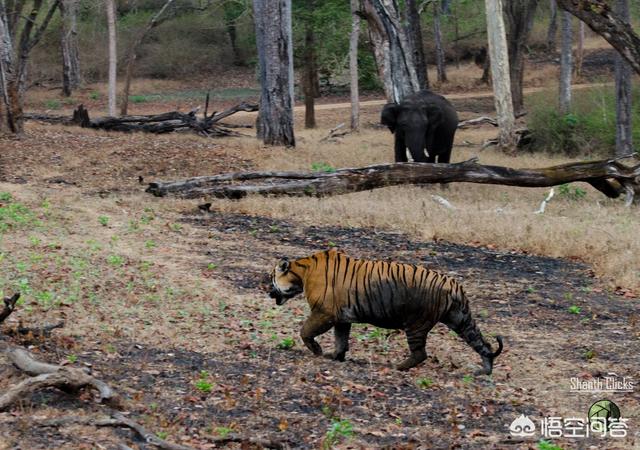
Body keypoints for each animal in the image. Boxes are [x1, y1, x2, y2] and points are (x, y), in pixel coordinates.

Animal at [268, 248, 502, 374]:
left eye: (271, 277)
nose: (267, 290)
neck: (301, 273)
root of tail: (453, 284)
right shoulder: (342, 318)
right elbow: (341, 339)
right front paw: (336, 356)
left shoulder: (324, 313)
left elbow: (305, 331)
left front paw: (318, 351)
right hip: (459, 319)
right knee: (483, 343)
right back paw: (485, 370)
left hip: (416, 324)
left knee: (421, 353)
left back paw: (399, 366)